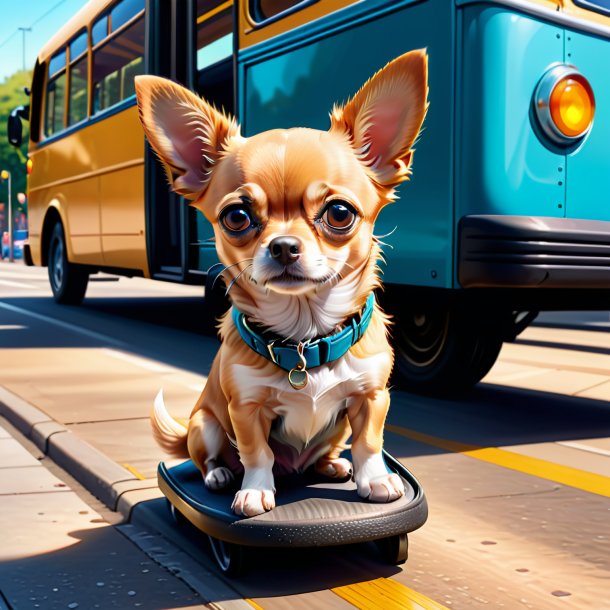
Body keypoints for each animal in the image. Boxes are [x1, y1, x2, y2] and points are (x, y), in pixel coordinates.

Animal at [134, 51, 428, 512]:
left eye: (340, 213)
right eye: (236, 217)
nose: (284, 246)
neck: (304, 336)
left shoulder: (372, 397)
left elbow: (369, 442)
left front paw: (376, 480)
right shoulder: (245, 408)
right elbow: (257, 453)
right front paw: (255, 490)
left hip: (335, 430)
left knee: (329, 451)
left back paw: (331, 466)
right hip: (204, 423)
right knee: (209, 456)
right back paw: (220, 474)